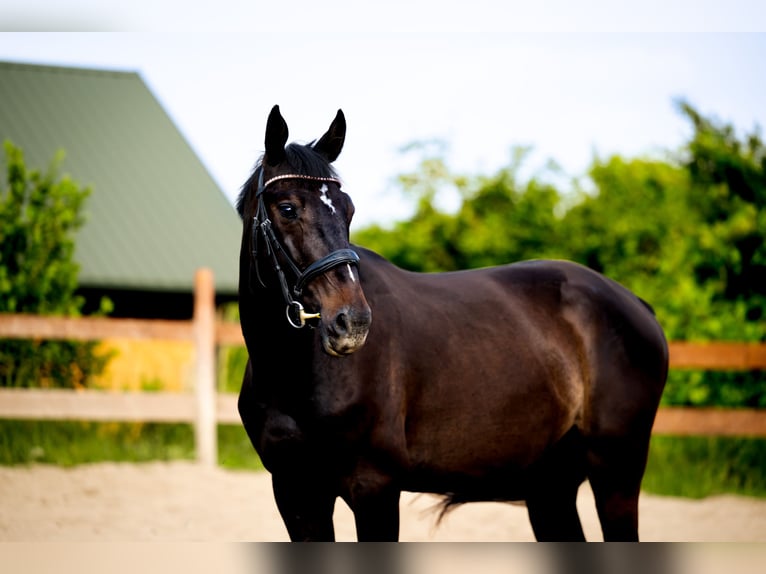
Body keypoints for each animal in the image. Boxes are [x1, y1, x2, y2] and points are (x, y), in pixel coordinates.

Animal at [236, 105, 669, 541]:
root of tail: (635, 304)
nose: (351, 322)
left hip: (616, 474)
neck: (295, 378)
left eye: (348, 209)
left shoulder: (374, 488)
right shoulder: (297, 495)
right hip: (550, 488)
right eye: (287, 208)